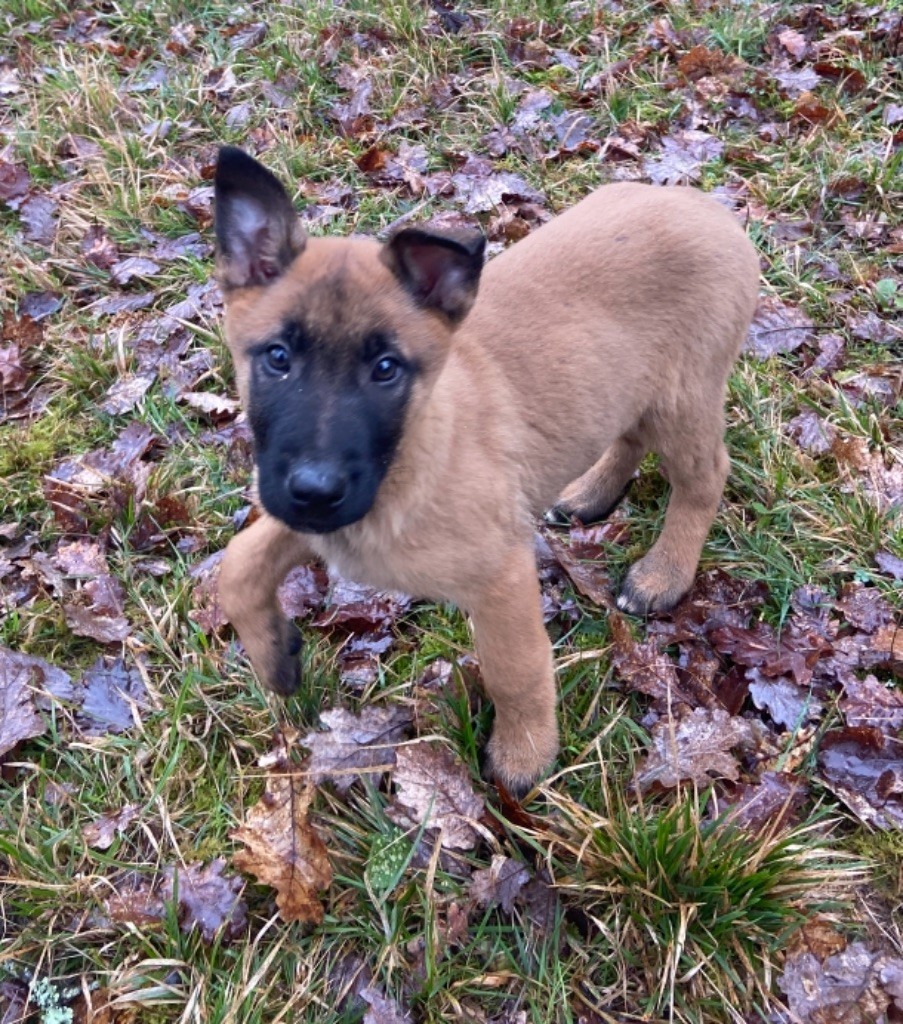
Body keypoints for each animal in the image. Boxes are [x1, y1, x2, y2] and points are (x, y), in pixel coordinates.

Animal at [215, 148, 757, 794]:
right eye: (277, 358)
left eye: (386, 369)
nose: (316, 490)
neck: (415, 455)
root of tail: (702, 203)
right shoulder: (307, 509)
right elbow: (236, 565)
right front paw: (275, 657)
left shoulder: (500, 575)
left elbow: (513, 669)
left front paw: (525, 756)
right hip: (626, 388)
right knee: (627, 436)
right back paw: (590, 492)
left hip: (682, 399)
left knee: (704, 479)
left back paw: (663, 575)